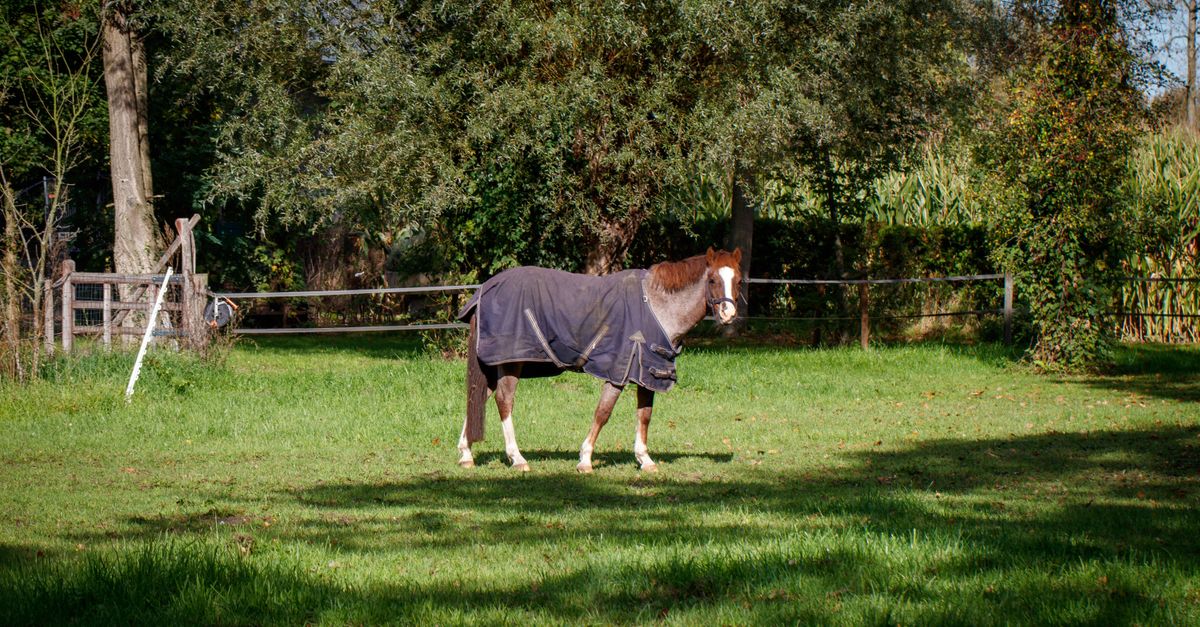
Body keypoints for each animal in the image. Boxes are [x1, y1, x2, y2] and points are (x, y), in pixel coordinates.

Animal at [454, 247, 742, 472]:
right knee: (504, 401)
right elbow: (603, 413)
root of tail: (485, 290)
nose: (728, 314)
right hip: (510, 363)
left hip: (496, 365)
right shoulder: (618, 371)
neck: (656, 306)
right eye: (713, 280)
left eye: (738, 280)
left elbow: (644, 415)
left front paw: (645, 460)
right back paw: (517, 458)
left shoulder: (648, 374)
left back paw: (466, 454)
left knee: (477, 397)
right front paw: (585, 459)